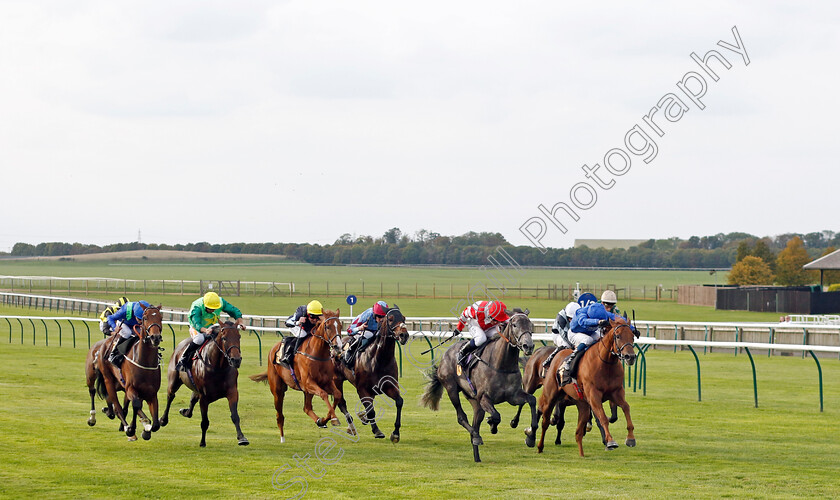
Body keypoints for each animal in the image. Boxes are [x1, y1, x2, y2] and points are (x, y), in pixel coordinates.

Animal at [94, 304, 163, 442]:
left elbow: (156, 424)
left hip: (120, 384)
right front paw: (133, 428)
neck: (144, 362)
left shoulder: (152, 393)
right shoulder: (131, 388)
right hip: (109, 380)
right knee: (117, 406)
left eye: (161, 317)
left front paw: (146, 429)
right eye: (145, 318)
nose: (155, 337)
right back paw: (126, 427)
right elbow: (136, 405)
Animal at [248, 308, 356, 442]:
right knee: (280, 415)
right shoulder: (309, 383)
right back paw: (282, 438)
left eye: (340, 326)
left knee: (307, 408)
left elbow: (337, 395)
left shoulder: (325, 382)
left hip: (307, 391)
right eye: (328, 326)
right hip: (278, 390)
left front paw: (326, 419)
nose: (338, 346)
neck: (317, 354)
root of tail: (273, 349)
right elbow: (324, 394)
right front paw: (334, 419)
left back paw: (319, 421)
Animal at [336, 304, 412, 442]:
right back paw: (352, 427)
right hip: (336, 380)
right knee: (341, 402)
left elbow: (399, 402)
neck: (379, 359)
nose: (404, 335)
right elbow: (371, 411)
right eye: (391, 319)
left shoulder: (389, 386)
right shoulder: (362, 388)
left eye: (404, 318)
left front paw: (395, 433)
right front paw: (377, 431)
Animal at [420, 310, 540, 462]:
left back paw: (477, 455)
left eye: (531, 325)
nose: (528, 346)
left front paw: (530, 437)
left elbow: (532, 400)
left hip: (473, 399)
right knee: (462, 418)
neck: (502, 365)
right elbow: (496, 415)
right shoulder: (484, 397)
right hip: (451, 388)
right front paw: (492, 424)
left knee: (476, 422)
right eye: (514, 325)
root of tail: (445, 355)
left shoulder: (513, 396)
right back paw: (477, 436)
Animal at [536, 318, 640, 456]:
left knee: (578, 432)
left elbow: (626, 407)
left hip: (582, 404)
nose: (630, 357)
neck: (605, 363)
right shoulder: (594, 395)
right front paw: (610, 441)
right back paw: (539, 446)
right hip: (551, 396)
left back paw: (581, 453)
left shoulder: (616, 392)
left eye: (632, 336)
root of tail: (559, 353)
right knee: (545, 421)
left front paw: (630, 438)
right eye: (618, 336)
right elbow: (602, 417)